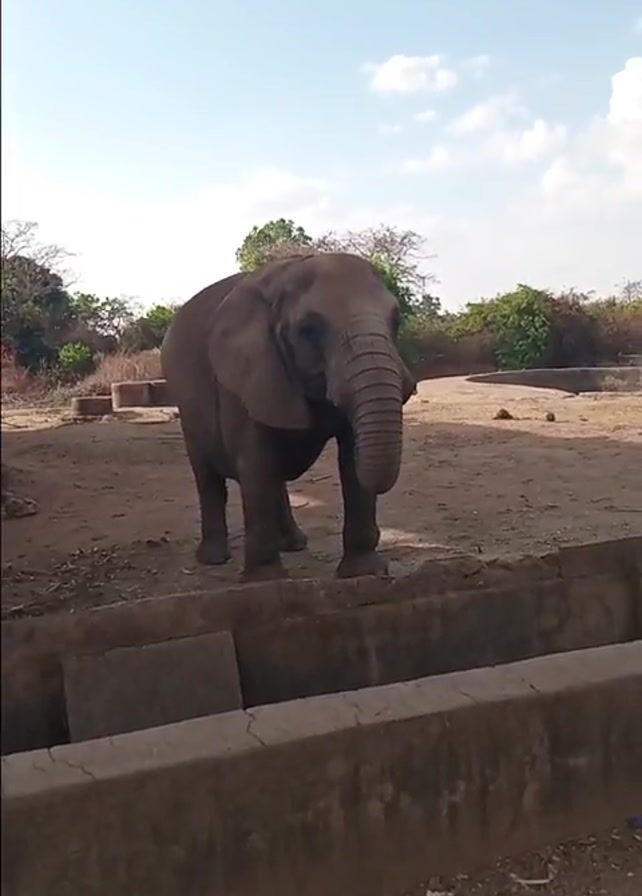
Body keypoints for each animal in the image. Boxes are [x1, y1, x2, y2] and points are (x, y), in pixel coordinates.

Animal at [161, 252, 416, 582]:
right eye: (309, 329)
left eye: (396, 321)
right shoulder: (243, 377)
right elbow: (256, 461)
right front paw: (265, 581)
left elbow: (350, 459)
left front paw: (363, 573)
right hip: (186, 409)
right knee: (209, 476)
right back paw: (214, 559)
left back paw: (294, 544)